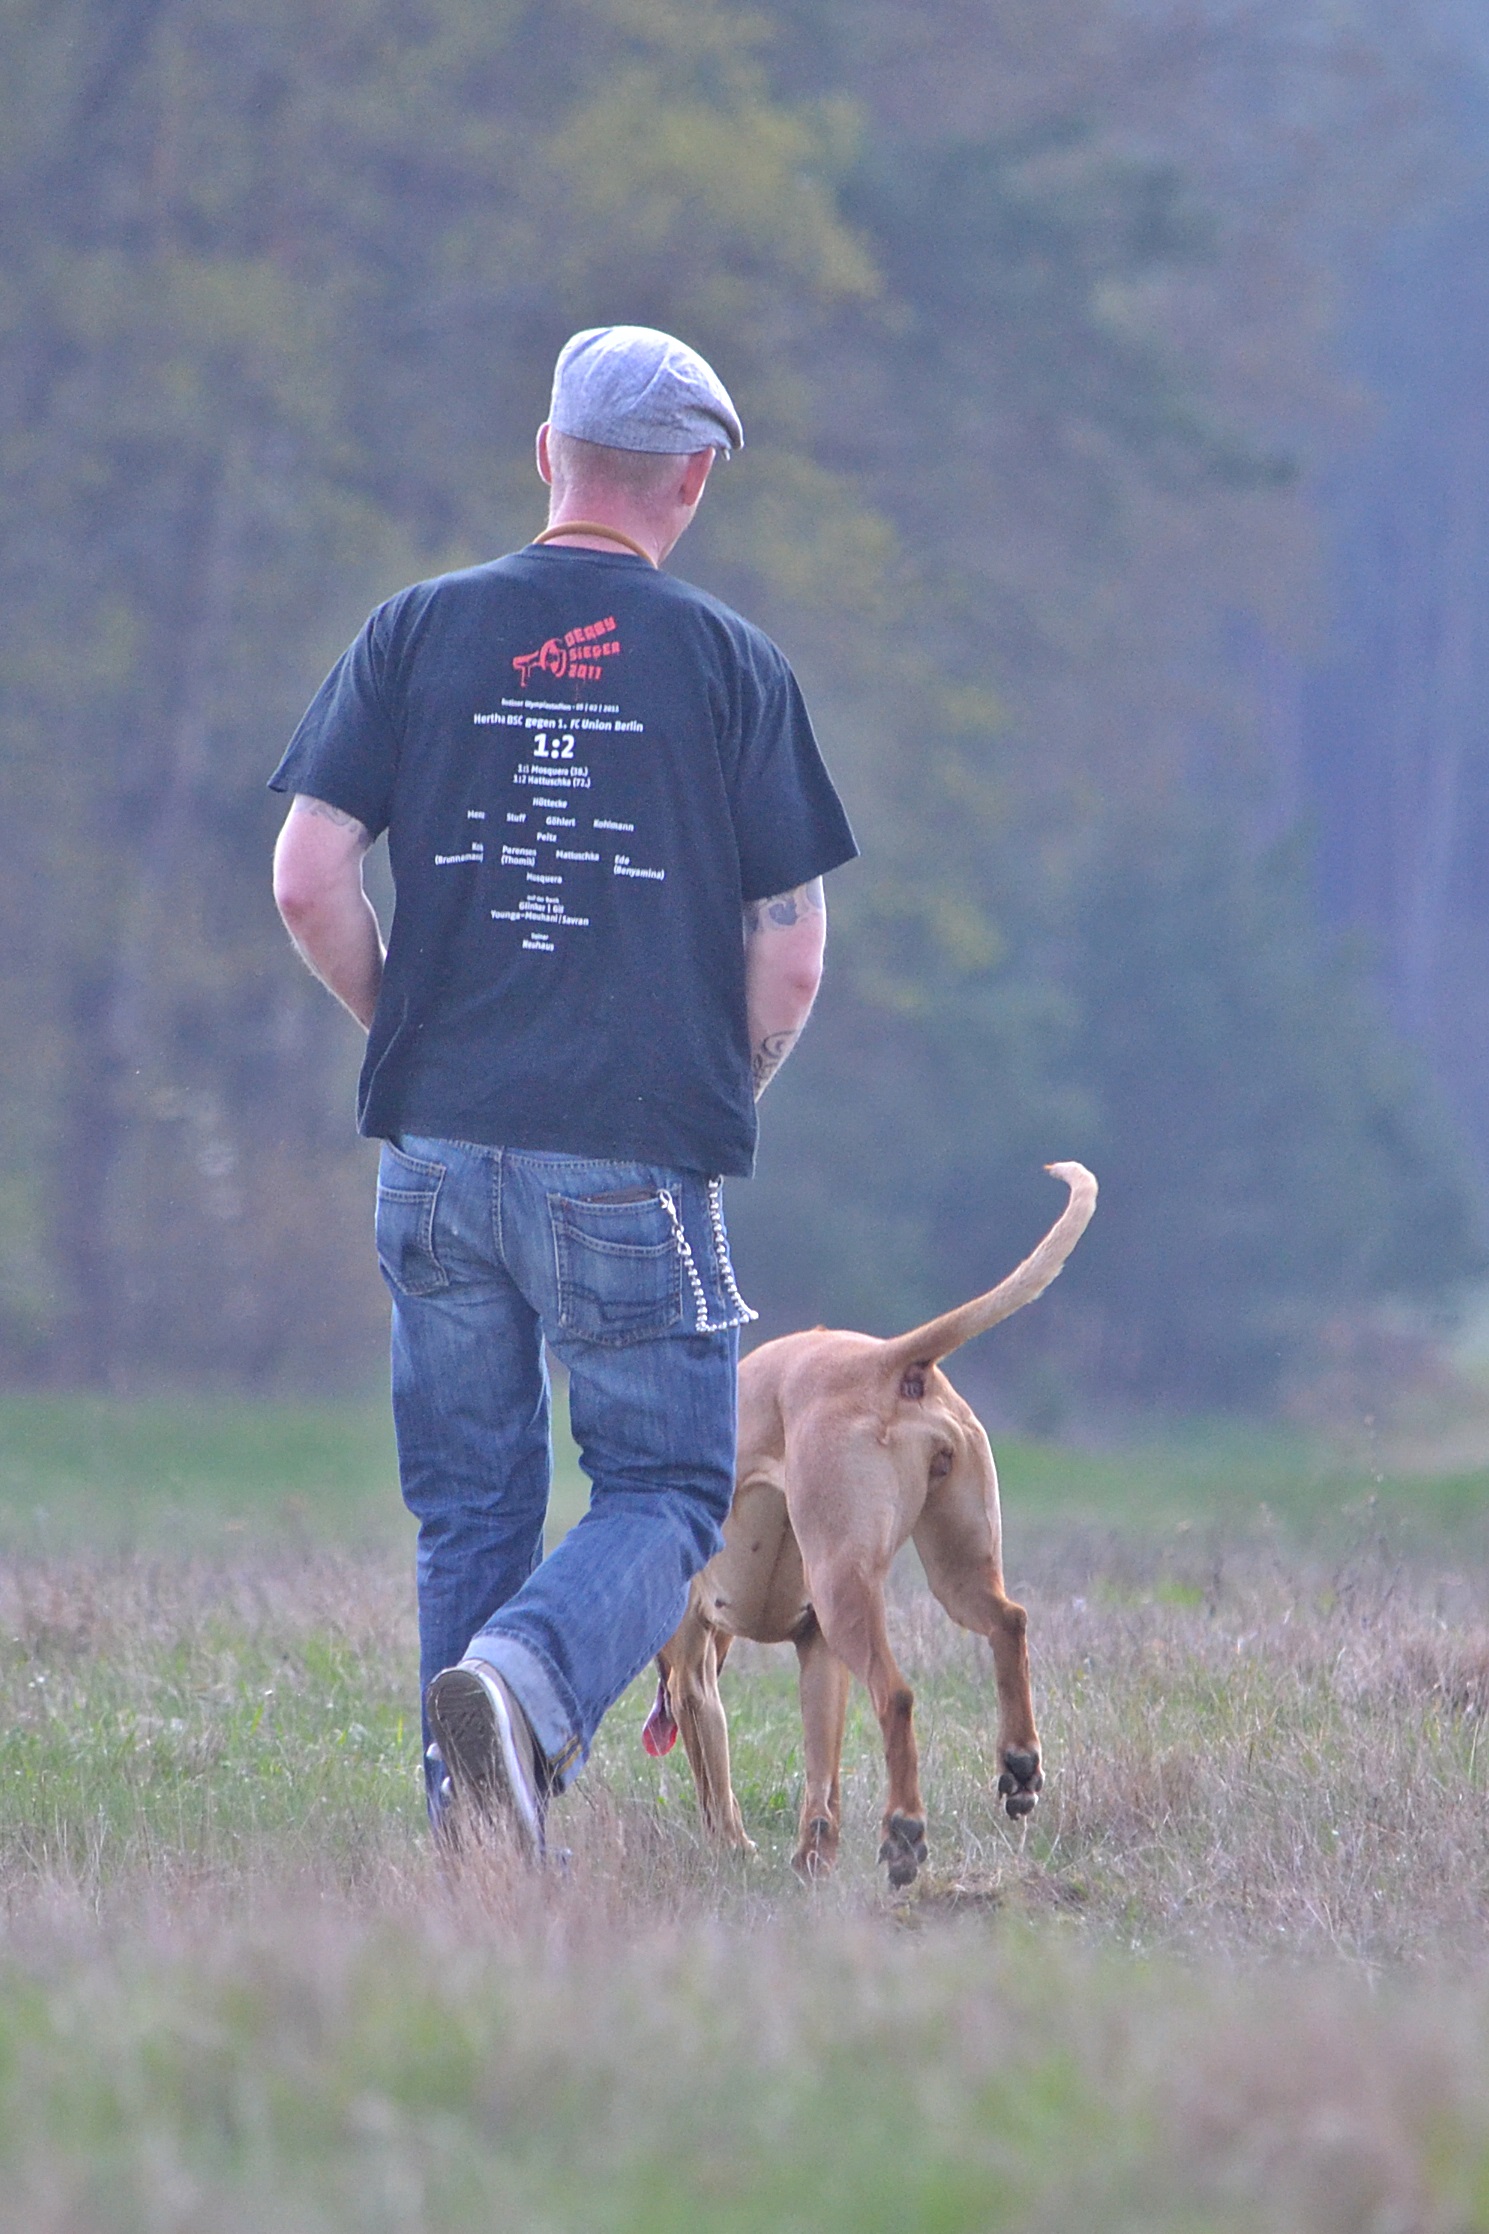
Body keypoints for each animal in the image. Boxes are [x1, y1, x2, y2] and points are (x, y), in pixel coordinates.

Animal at [642, 1162, 1097, 1887]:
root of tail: (888, 1360)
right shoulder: (818, 1653)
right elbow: (820, 1777)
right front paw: (812, 1859)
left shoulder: (694, 1677)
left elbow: (716, 1785)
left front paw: (732, 1850)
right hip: (954, 1570)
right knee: (1009, 1621)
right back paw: (1019, 1762)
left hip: (843, 1585)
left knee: (898, 1695)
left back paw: (903, 1832)